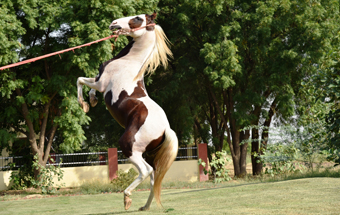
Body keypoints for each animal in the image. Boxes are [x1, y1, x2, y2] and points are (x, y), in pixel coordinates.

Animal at [76, 12, 179, 211]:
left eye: (137, 18)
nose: (113, 23)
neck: (128, 62)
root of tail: (166, 129)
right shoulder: (99, 82)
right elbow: (87, 83)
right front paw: (91, 101)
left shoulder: (101, 83)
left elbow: (80, 80)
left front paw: (83, 104)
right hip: (146, 153)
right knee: (154, 177)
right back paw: (144, 207)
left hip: (128, 146)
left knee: (146, 171)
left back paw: (127, 198)